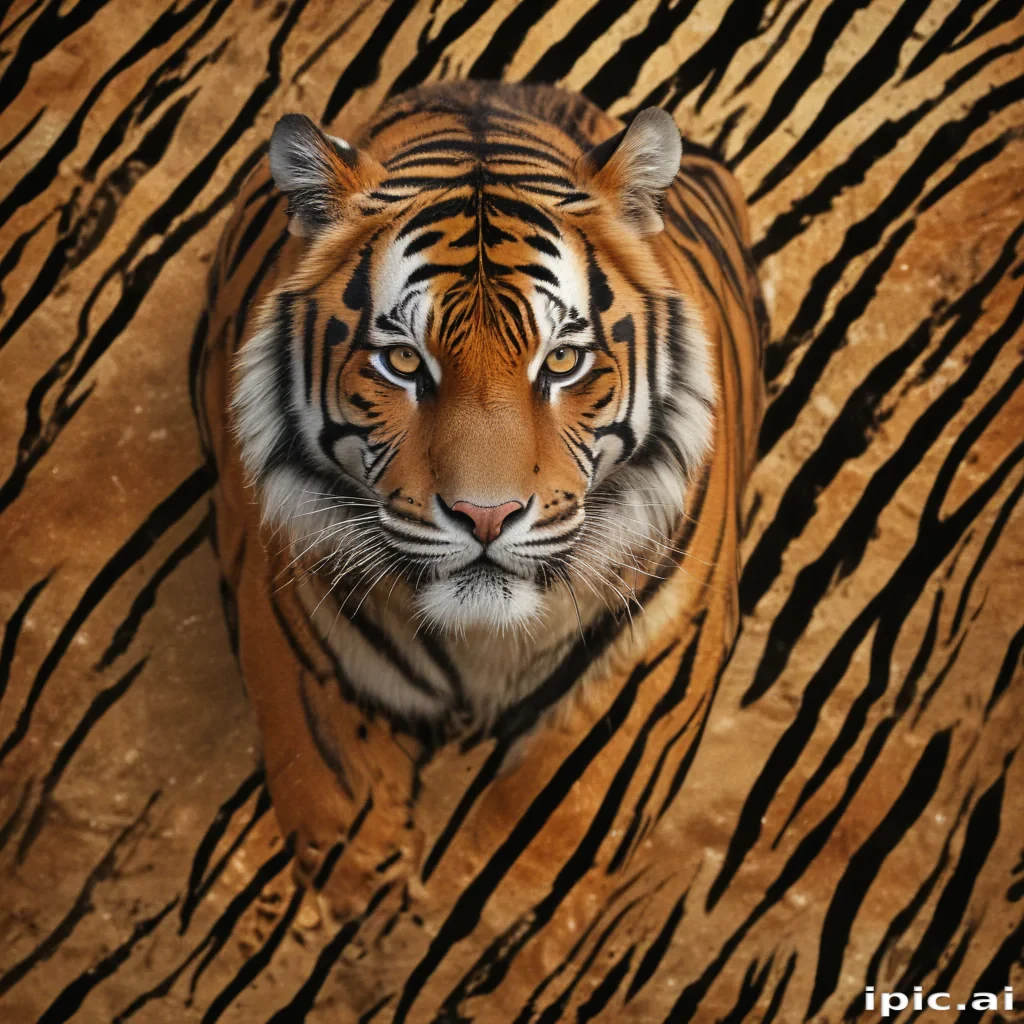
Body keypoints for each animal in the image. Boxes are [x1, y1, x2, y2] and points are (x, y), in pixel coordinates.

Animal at [192, 80, 766, 1019]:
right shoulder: (290, 618)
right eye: (401, 361)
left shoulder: (660, 649)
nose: (485, 516)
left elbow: (554, 826)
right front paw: (365, 925)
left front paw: (475, 947)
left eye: (563, 362)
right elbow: (333, 787)